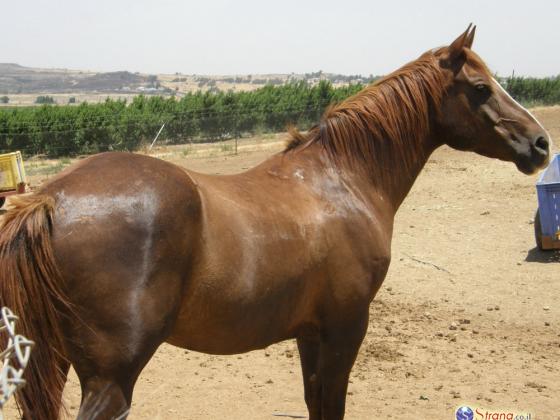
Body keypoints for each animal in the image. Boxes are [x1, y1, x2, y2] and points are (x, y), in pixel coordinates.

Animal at [0, 26, 552, 420]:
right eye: (480, 88)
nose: (541, 144)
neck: (342, 179)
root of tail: (48, 200)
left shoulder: (310, 333)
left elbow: (315, 403)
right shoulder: (345, 327)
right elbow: (333, 406)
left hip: (50, 360)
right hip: (111, 378)